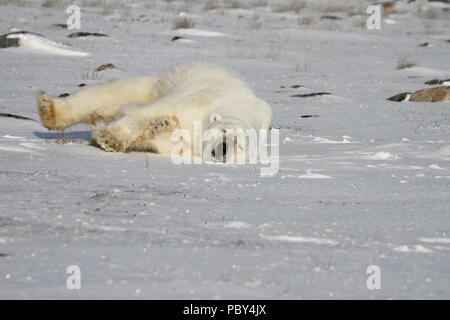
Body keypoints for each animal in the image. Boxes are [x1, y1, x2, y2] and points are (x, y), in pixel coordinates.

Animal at [37, 62, 270, 162]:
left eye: (239, 147)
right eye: (224, 132)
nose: (222, 148)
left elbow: (168, 142)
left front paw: (160, 127)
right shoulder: (204, 101)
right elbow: (155, 111)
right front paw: (112, 139)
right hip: (163, 83)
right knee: (116, 92)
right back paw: (49, 109)